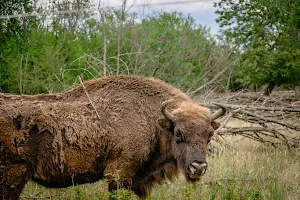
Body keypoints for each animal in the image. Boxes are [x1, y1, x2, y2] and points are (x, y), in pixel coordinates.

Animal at [0, 75, 225, 198]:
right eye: (178, 133)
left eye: (209, 135)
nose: (198, 167)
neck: (153, 120)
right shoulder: (118, 174)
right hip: (12, 177)